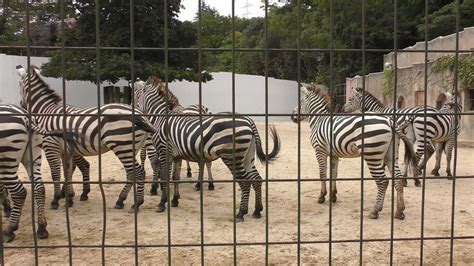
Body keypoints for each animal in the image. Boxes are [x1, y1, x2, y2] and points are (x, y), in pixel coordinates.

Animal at [16, 65, 156, 213]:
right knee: (131, 173)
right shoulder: (66, 151)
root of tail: (140, 114)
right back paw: (120, 200)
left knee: (139, 172)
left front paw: (56, 200)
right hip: (131, 148)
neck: (45, 112)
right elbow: (67, 173)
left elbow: (56, 174)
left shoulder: (51, 147)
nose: (21, 104)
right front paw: (69, 199)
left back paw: (137, 203)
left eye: (19, 85)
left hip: (122, 146)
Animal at [141, 76, 282, 221]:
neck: (161, 119)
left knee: (245, 182)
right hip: (247, 155)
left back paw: (241, 213)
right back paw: (257, 211)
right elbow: (175, 177)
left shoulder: (164, 151)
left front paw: (162, 203)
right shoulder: (176, 156)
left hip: (232, 156)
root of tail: (249, 120)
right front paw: (174, 200)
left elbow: (165, 177)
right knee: (257, 179)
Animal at [288, 83, 418, 220]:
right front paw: (333, 196)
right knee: (397, 179)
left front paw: (322, 196)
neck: (319, 121)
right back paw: (399, 211)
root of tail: (390, 121)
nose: (292, 116)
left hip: (372, 155)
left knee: (383, 181)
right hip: (390, 155)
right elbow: (334, 174)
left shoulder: (320, 151)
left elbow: (322, 174)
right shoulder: (334, 154)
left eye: (300, 102)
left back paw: (375, 211)